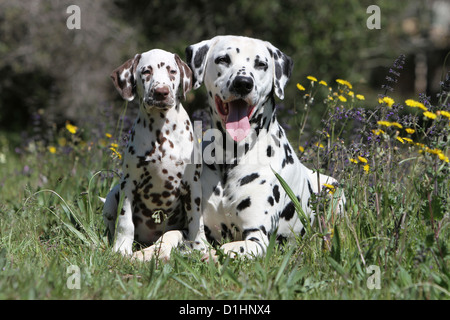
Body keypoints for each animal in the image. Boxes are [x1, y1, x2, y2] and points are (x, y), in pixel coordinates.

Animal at [102, 49, 206, 260]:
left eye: (172, 71)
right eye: (146, 71)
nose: (161, 92)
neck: (161, 130)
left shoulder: (192, 186)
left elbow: (195, 222)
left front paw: (200, 247)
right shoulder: (129, 184)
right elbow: (125, 222)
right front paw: (121, 249)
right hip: (113, 195)